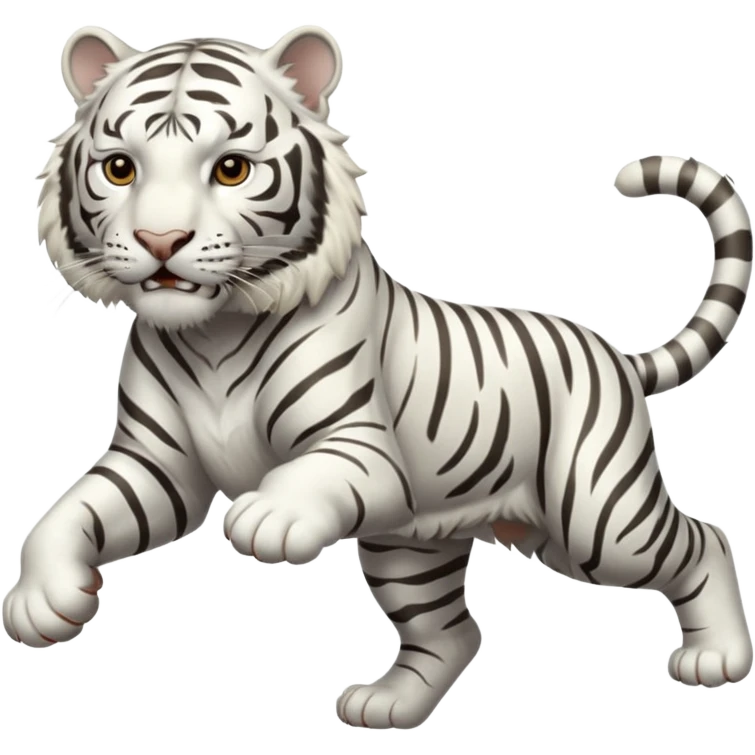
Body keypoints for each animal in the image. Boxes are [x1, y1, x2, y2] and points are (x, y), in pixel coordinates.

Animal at [6, 24, 753, 728]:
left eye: (231, 170)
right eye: (120, 169)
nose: (161, 241)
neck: (213, 332)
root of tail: (614, 353)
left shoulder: (359, 447)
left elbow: (305, 474)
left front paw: (270, 515)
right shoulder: (156, 466)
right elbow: (65, 513)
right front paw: (40, 600)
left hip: (600, 520)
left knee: (704, 541)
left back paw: (717, 657)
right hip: (414, 545)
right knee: (452, 632)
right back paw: (389, 705)